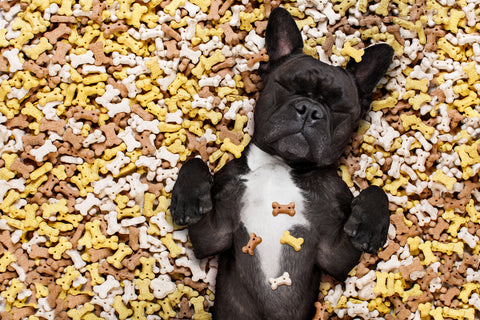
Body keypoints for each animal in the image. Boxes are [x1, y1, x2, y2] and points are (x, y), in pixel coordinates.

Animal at [172, 7, 394, 320]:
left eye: (339, 108)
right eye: (287, 86)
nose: (310, 110)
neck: (281, 164)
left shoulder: (334, 255)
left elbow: (376, 190)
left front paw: (369, 224)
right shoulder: (213, 235)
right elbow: (194, 161)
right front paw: (189, 198)